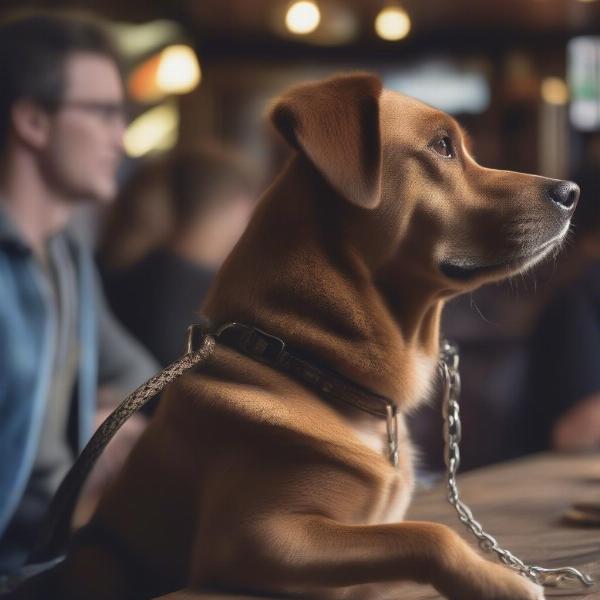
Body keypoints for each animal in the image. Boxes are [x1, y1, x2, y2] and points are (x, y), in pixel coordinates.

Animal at [15, 74, 576, 600]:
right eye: (442, 146)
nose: (571, 192)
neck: (307, 362)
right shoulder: (255, 539)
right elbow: (427, 533)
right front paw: (497, 579)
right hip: (105, 562)